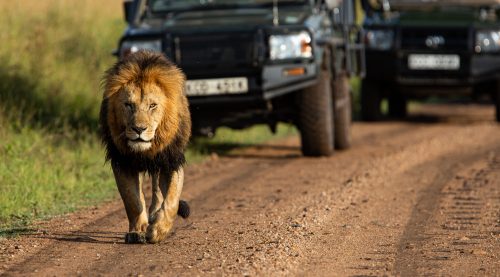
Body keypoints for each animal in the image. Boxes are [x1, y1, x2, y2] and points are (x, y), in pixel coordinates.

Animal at [99, 50, 191, 243]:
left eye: (152, 106)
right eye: (128, 105)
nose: (139, 129)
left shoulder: (172, 161)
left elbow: (172, 200)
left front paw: (159, 230)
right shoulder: (122, 162)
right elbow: (133, 200)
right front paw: (138, 231)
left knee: (157, 191)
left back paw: (155, 215)